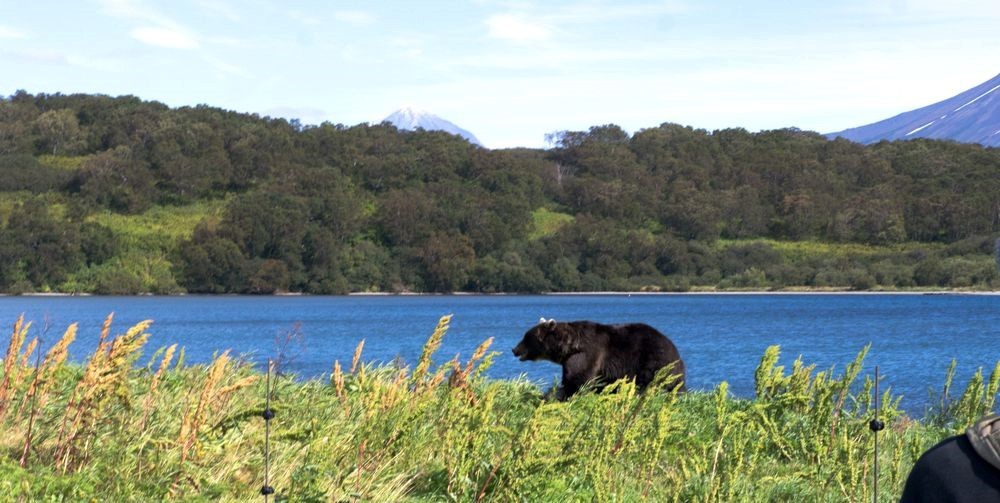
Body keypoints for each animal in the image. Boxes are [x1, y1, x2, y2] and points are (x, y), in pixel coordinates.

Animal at [512, 318, 684, 402]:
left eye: (526, 337)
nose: (514, 349)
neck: (569, 347)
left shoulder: (587, 355)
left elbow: (578, 380)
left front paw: (555, 395)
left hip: (653, 361)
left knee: (647, 382)